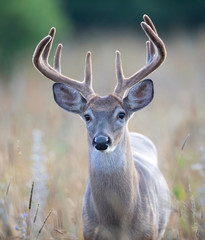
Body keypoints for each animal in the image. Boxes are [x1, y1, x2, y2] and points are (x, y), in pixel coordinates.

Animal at [32, 15, 170, 240]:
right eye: (87, 116)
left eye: (121, 114)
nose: (101, 141)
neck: (118, 222)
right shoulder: (88, 231)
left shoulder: (148, 232)